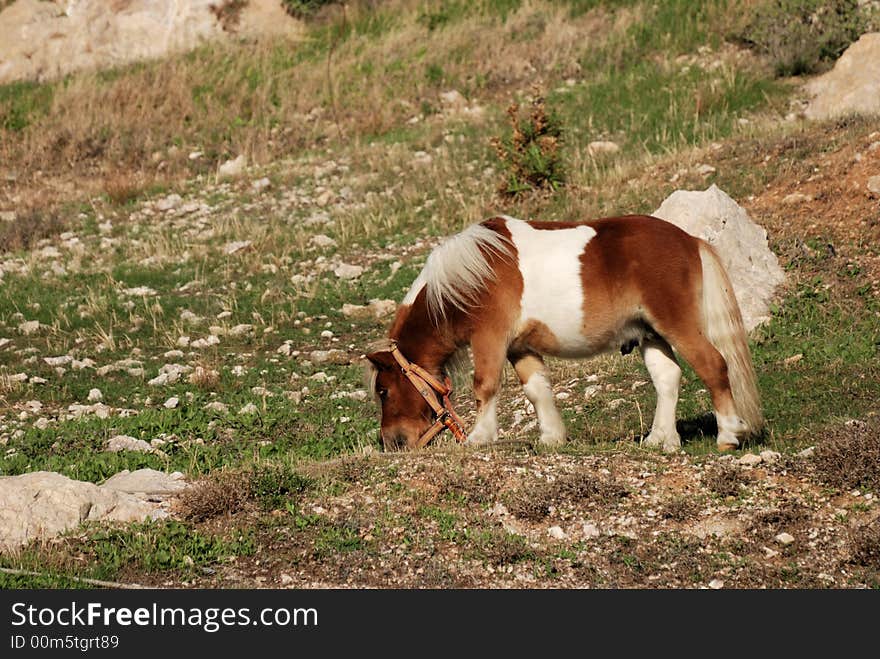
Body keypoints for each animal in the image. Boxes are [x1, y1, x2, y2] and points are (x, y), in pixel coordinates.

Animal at [366, 217, 764, 454]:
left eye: (383, 390)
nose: (392, 442)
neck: (468, 279)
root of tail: (689, 239)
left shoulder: (489, 339)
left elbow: (485, 386)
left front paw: (480, 437)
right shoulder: (519, 347)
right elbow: (537, 390)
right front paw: (551, 438)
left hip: (677, 325)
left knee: (714, 366)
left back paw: (728, 435)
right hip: (650, 333)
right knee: (668, 378)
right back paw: (659, 440)